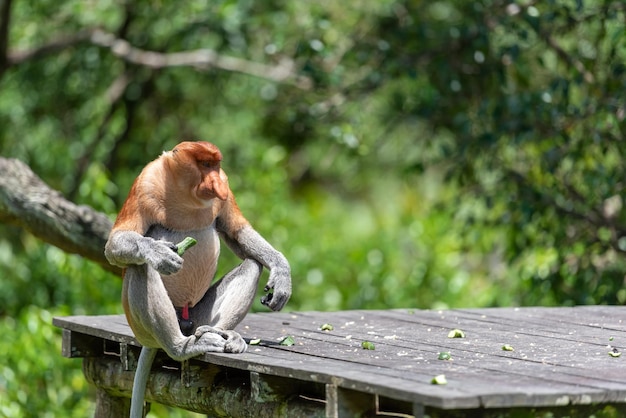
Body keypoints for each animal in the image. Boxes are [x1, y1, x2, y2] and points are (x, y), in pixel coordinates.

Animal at [103, 141, 292, 418]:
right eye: (204, 164)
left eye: (215, 166)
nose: (216, 182)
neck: (186, 195)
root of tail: (184, 322)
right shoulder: (144, 183)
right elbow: (115, 243)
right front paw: (159, 252)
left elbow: (237, 232)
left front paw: (282, 274)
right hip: (141, 330)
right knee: (142, 268)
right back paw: (181, 346)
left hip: (200, 315)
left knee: (252, 265)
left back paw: (222, 335)